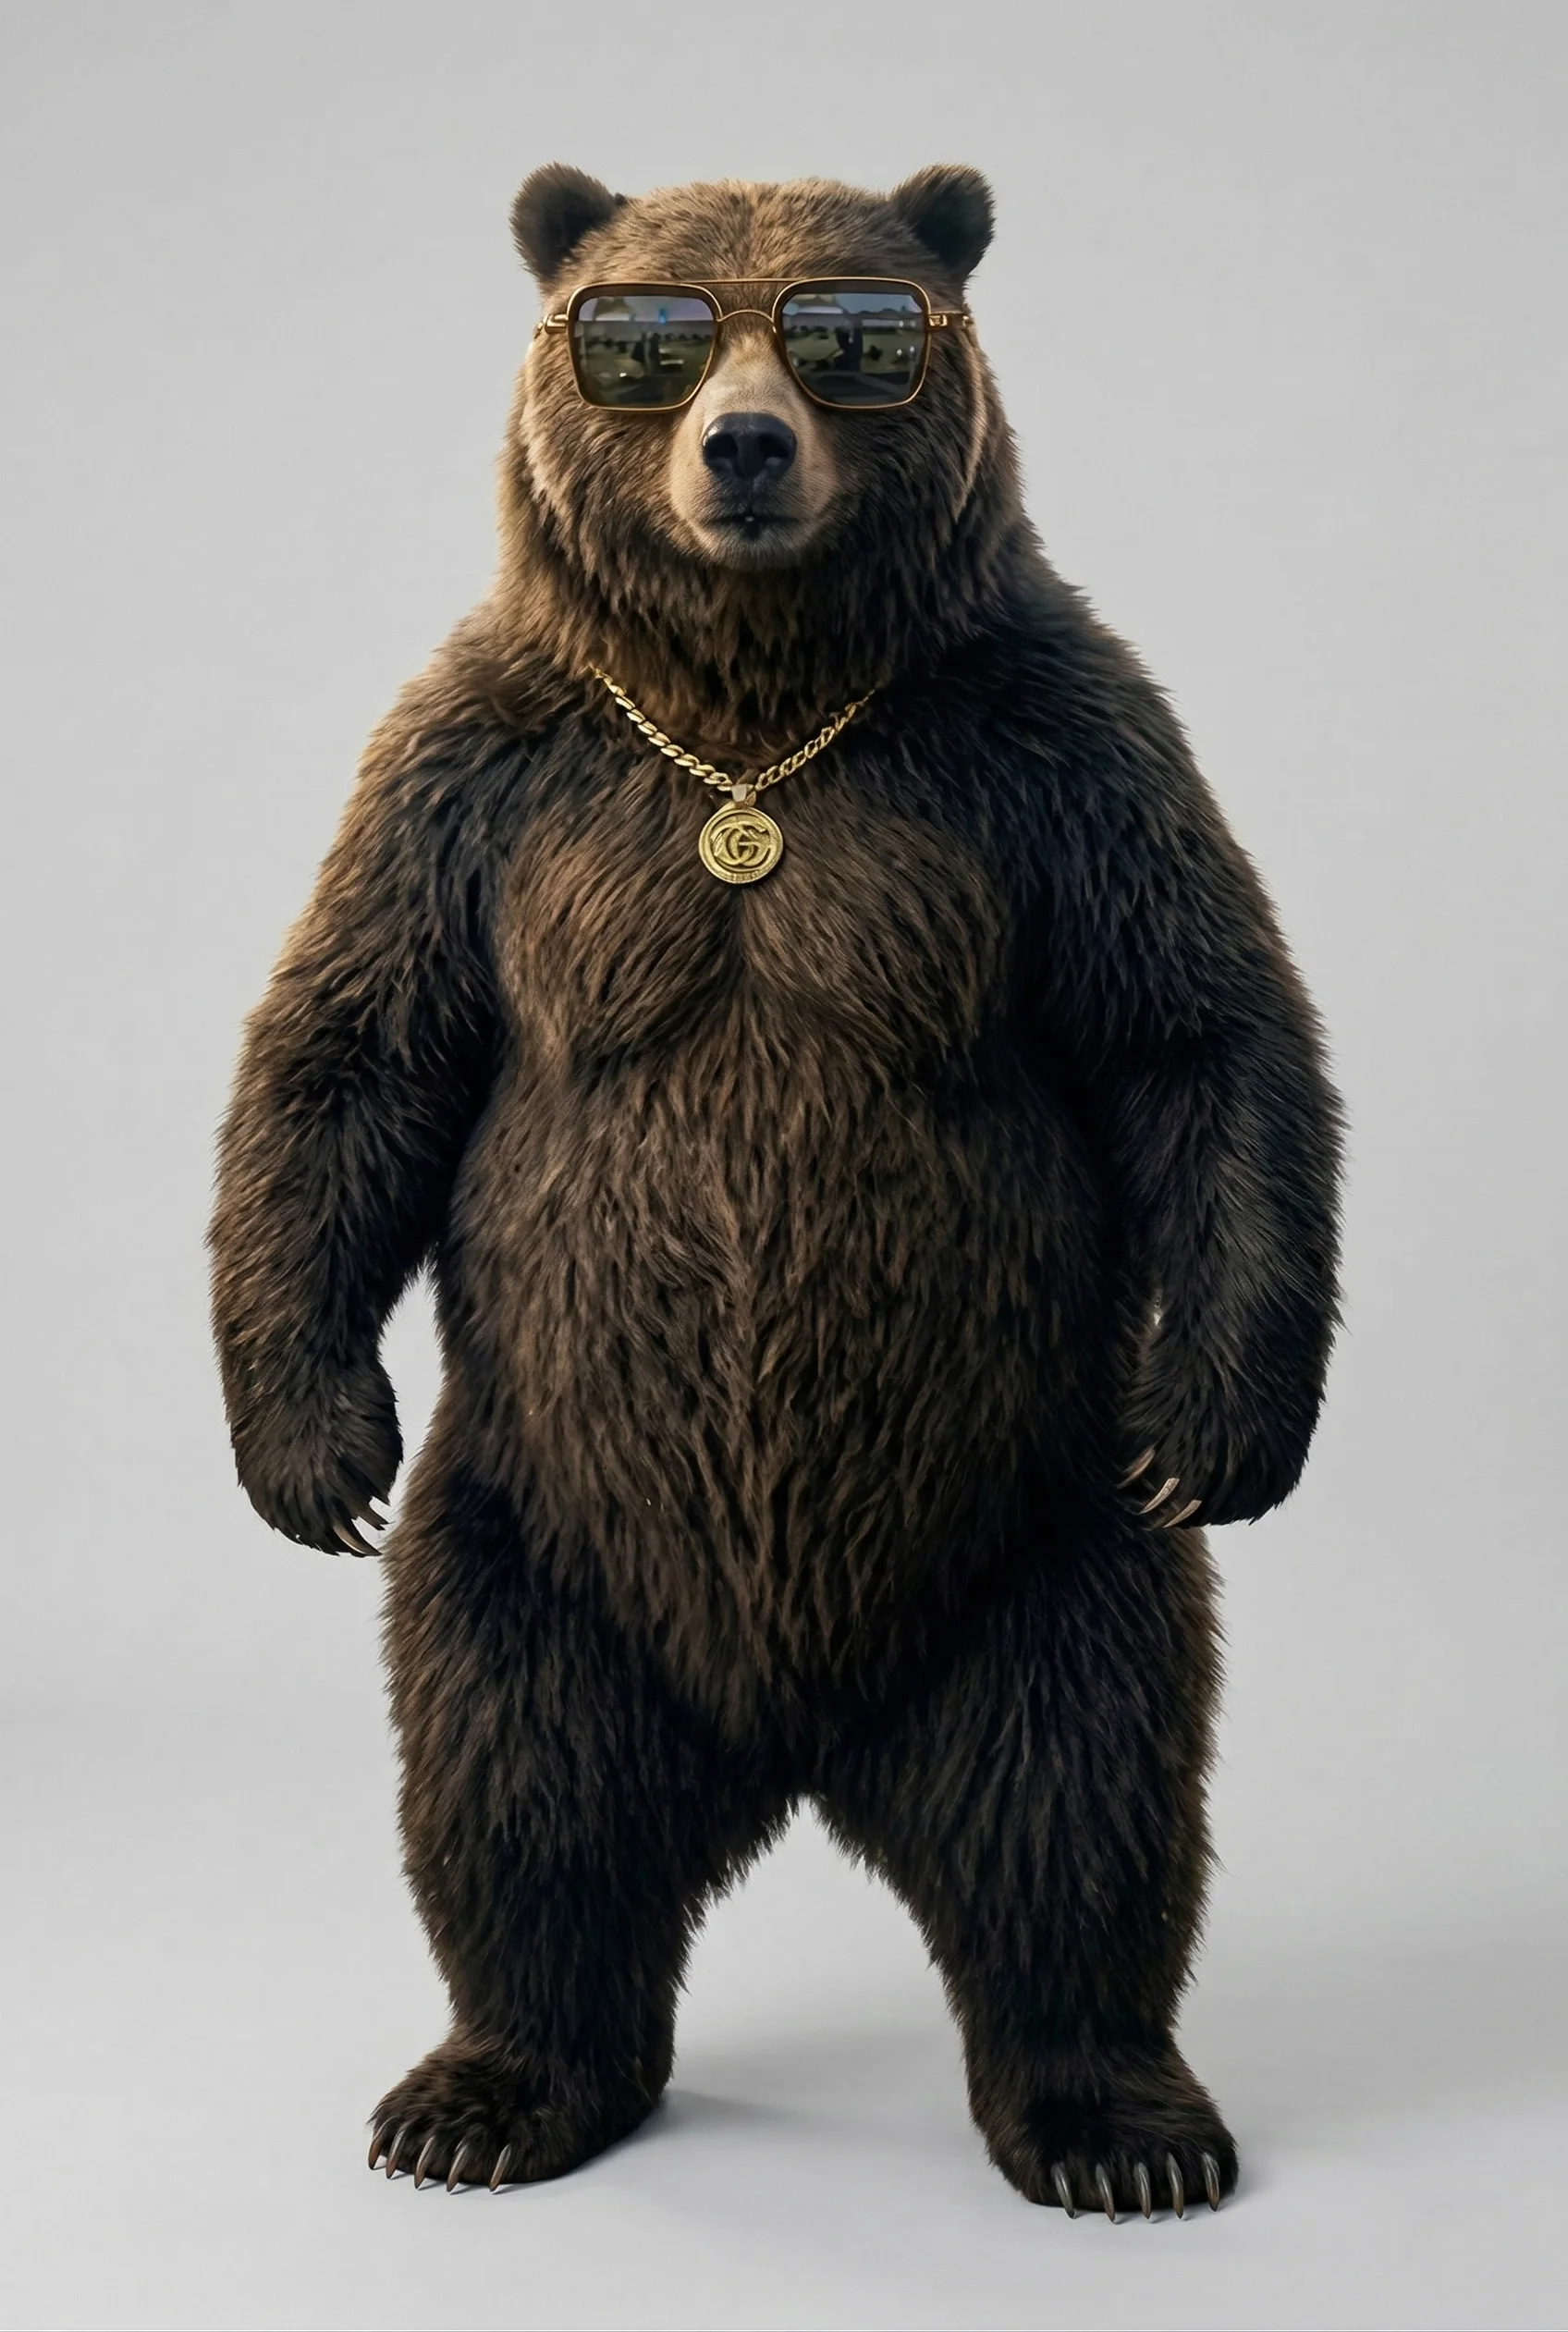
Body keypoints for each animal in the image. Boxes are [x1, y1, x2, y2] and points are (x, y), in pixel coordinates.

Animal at [209, 161, 1341, 2217]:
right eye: (645, 331)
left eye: (844, 331)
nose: (742, 445)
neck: (750, 703)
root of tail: (796, 1737)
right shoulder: (483, 775)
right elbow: (352, 1049)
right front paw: (310, 1451)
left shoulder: (1045, 746)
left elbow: (1192, 1022)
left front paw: (1230, 1422)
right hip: (532, 1529)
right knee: (516, 1796)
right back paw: (489, 2092)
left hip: (1038, 1533)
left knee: (1085, 1799)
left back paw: (1117, 2119)